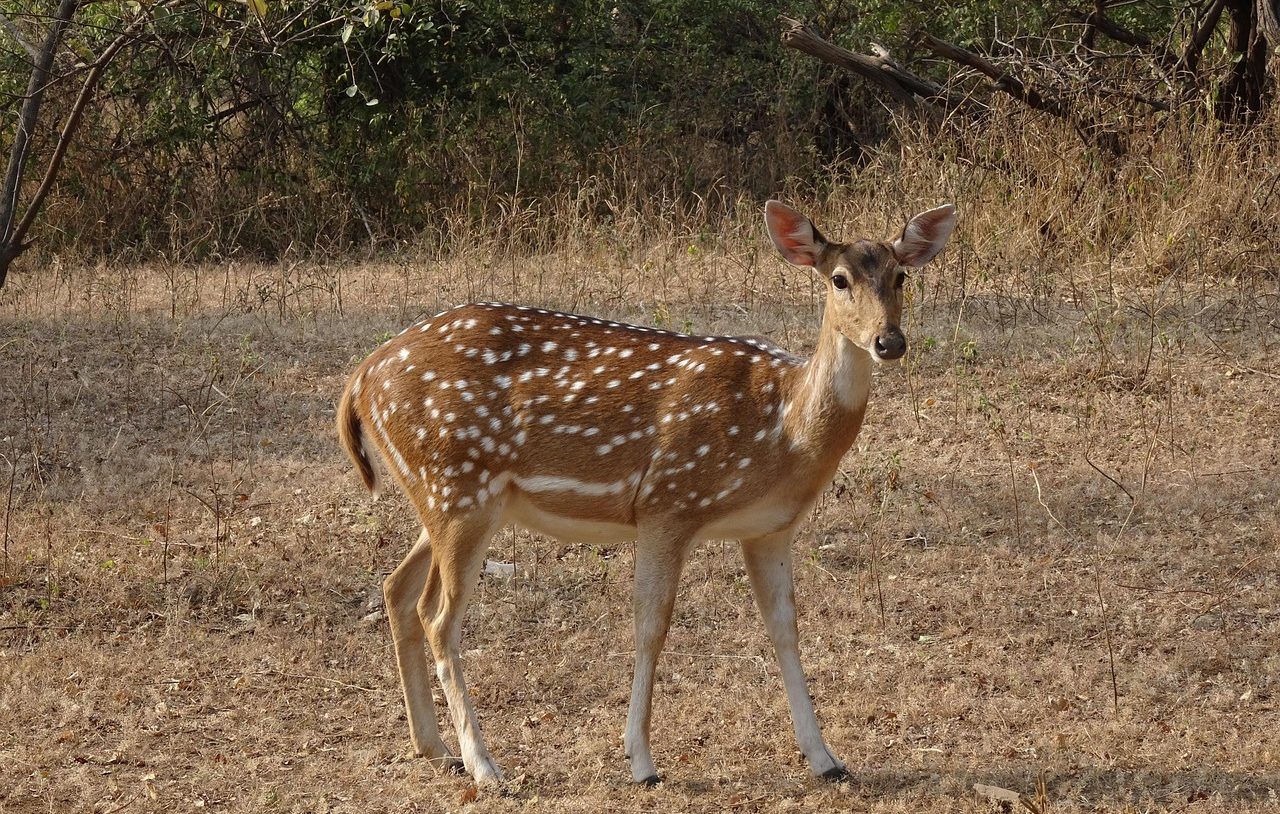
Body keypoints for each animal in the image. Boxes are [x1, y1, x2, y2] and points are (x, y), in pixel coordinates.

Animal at [336, 199, 957, 787]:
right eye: (839, 278)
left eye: (901, 276)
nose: (889, 341)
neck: (784, 429)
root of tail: (361, 378)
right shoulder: (669, 502)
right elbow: (650, 626)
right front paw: (641, 761)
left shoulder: (769, 529)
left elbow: (785, 630)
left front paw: (826, 759)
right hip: (458, 487)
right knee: (438, 615)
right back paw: (484, 765)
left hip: (447, 498)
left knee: (396, 590)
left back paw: (434, 747)